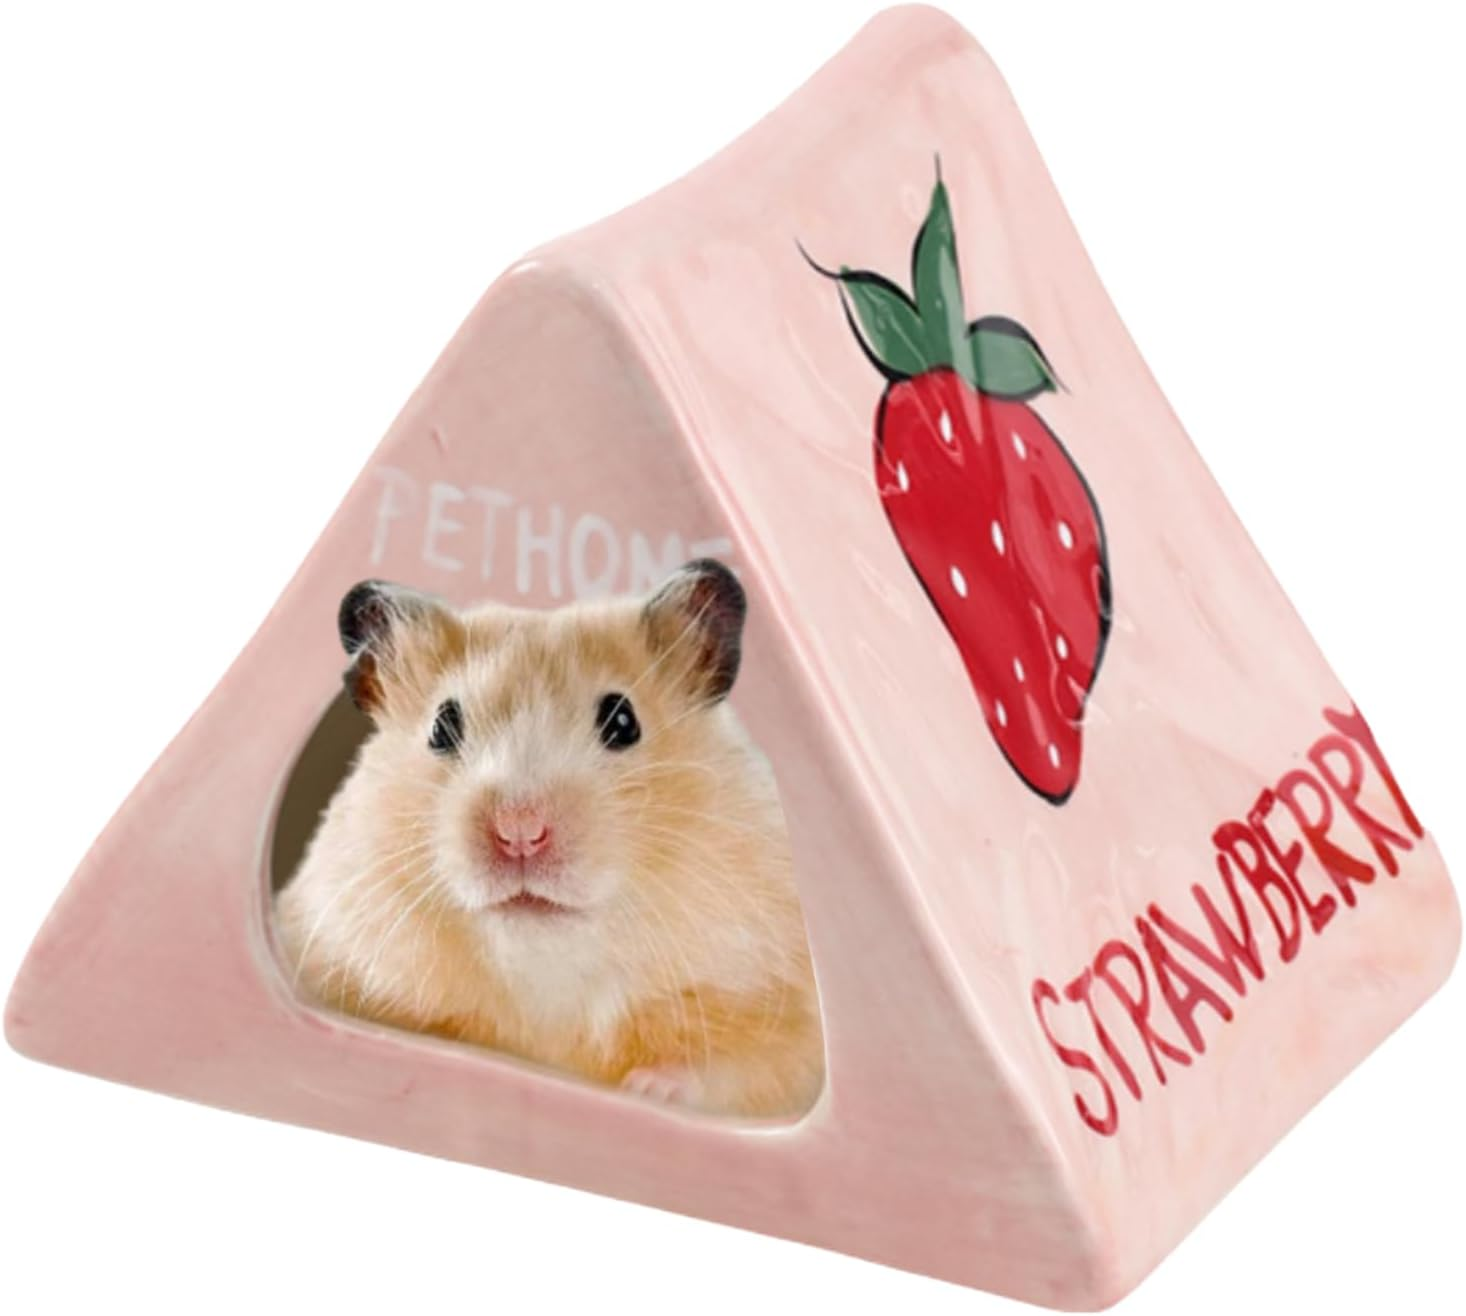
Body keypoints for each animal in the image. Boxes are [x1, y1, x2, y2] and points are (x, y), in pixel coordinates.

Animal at [275, 559, 823, 1118]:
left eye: (623, 720)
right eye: (442, 726)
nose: (519, 831)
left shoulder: (789, 1019)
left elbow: (744, 1072)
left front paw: (648, 1089)